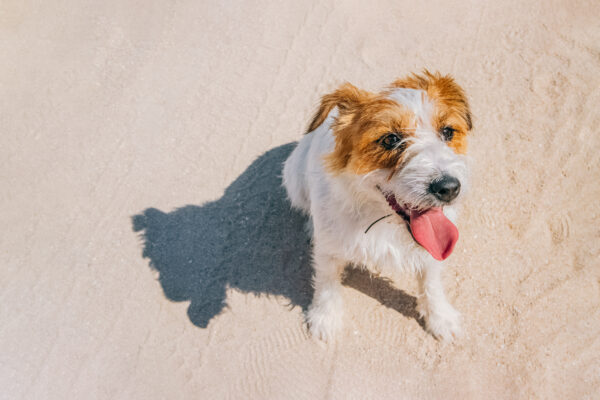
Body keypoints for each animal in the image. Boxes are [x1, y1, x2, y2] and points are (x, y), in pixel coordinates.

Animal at [282, 71, 474, 340]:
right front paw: (325, 318)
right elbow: (327, 281)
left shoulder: (432, 250)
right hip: (293, 179)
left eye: (447, 131)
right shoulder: (329, 249)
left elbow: (431, 281)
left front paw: (440, 318)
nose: (449, 188)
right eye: (391, 139)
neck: (379, 217)